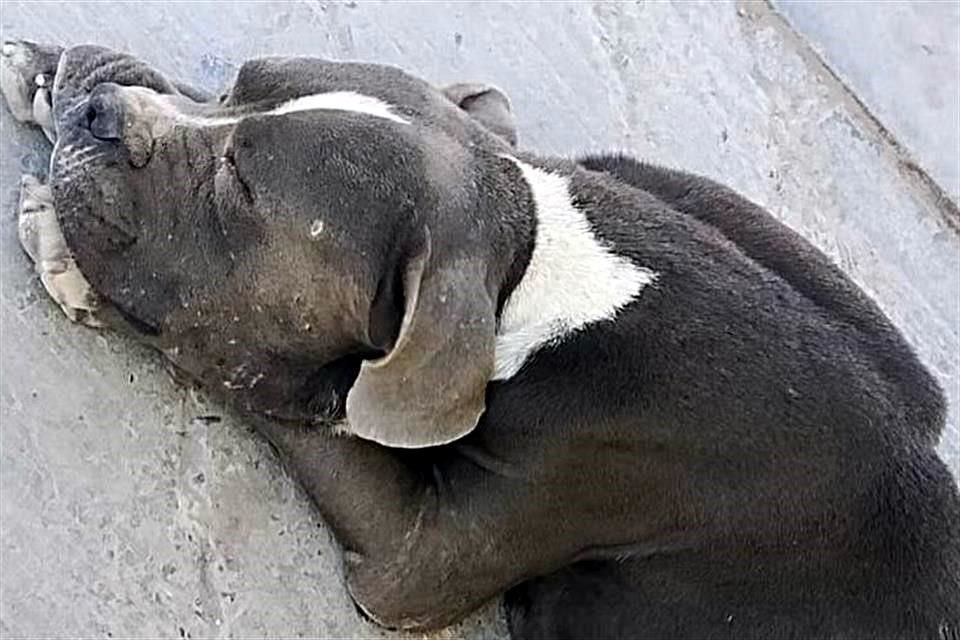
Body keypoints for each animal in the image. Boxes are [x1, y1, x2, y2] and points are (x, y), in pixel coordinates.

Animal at [1, 41, 960, 640]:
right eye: (236, 80)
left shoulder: (412, 562)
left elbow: (281, 392)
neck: (524, 273)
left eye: (240, 186)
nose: (100, 112)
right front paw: (64, 68)